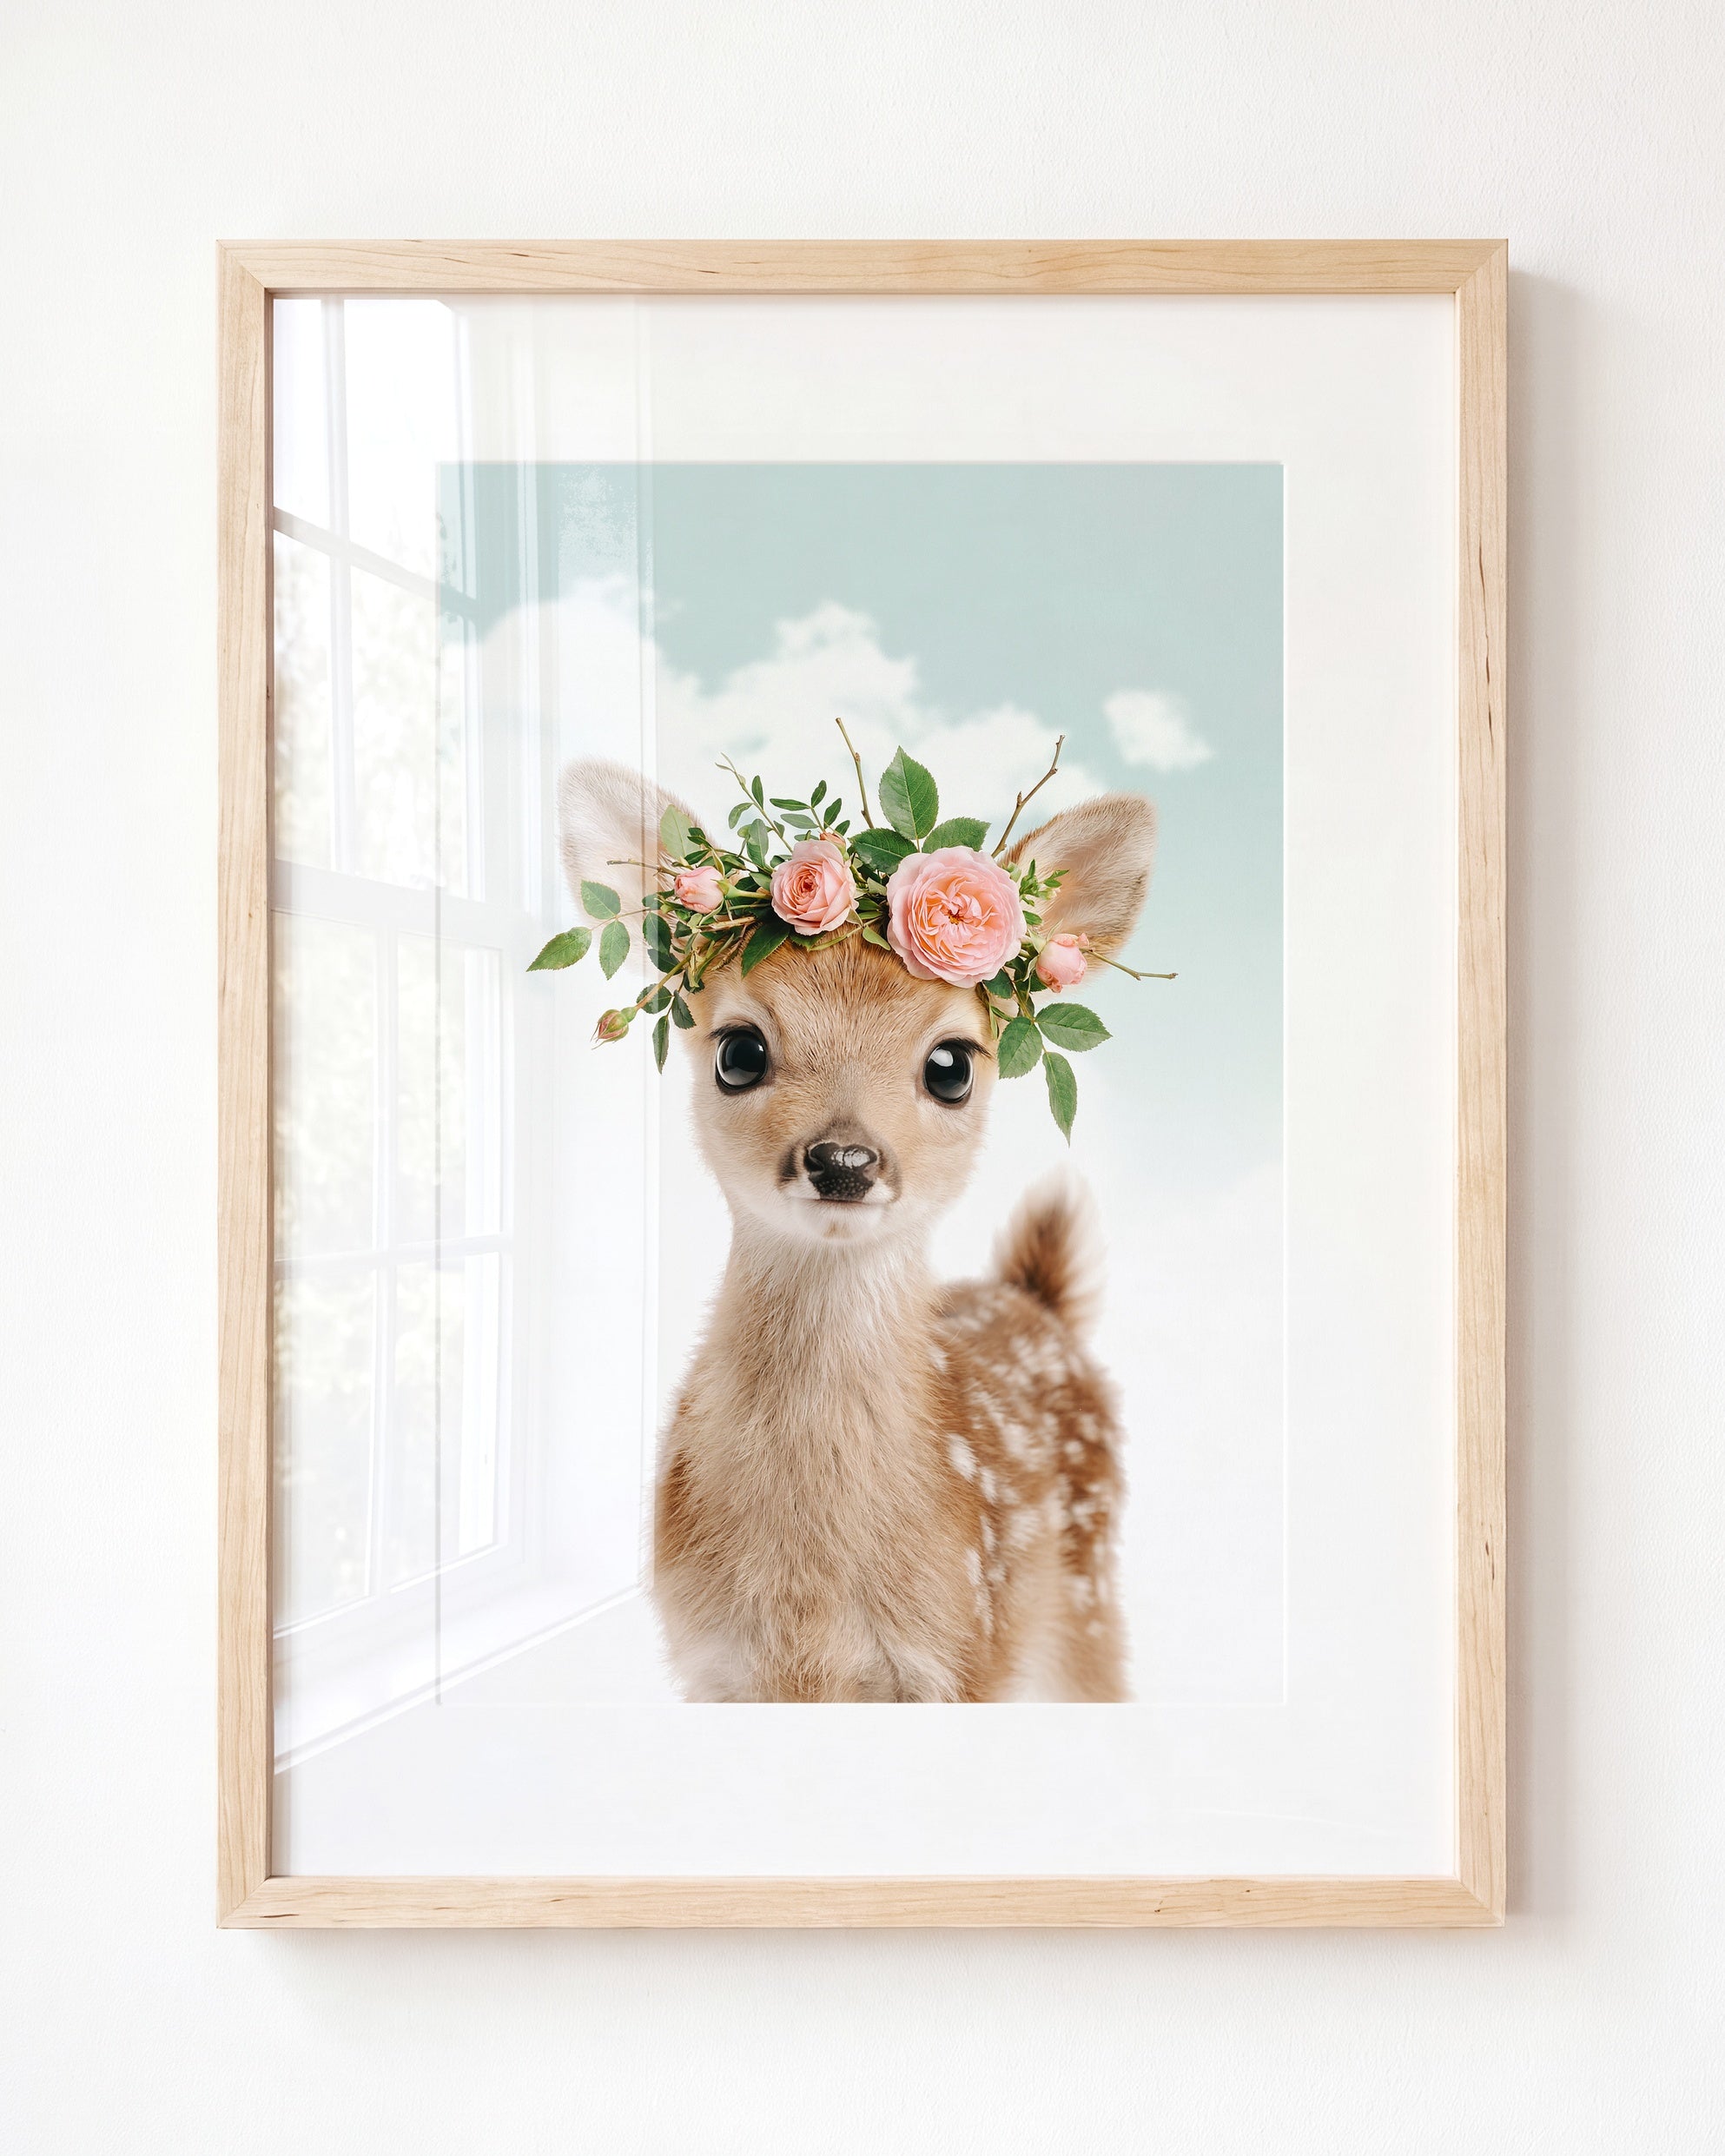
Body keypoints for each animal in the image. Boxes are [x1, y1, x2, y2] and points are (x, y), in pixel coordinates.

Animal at [559, 757, 1158, 1702]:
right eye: (738, 1052)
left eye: (951, 1065)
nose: (843, 1158)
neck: (809, 1600)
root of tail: (1037, 1301)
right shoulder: (711, 1664)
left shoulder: (961, 1653)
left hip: (1085, 1600)